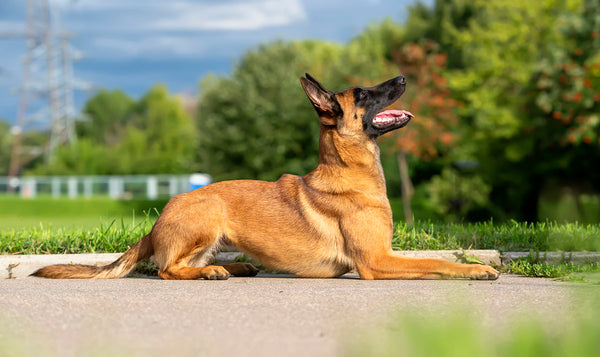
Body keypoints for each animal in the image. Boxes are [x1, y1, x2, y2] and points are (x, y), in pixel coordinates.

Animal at [34, 74, 502, 280]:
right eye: (364, 94)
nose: (403, 76)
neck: (348, 170)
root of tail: (156, 223)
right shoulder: (376, 262)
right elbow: (436, 263)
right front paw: (476, 271)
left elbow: (436, 258)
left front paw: (476, 263)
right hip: (207, 212)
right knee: (167, 269)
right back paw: (212, 273)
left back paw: (236, 268)